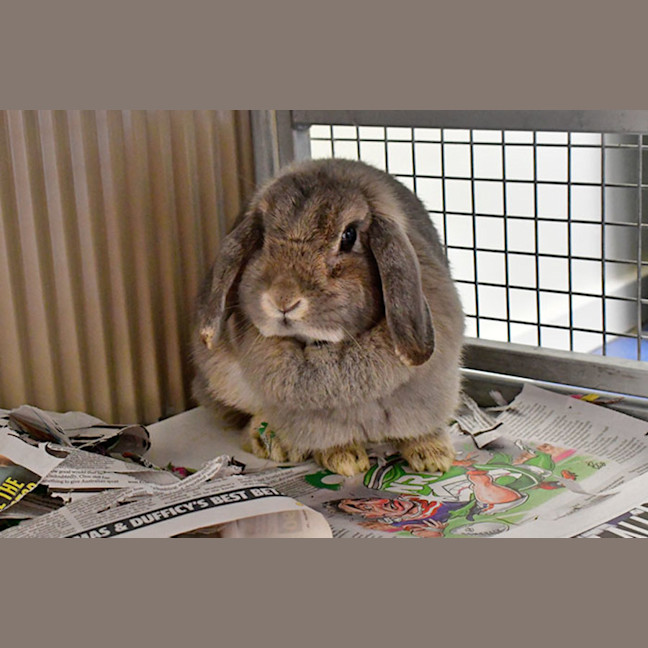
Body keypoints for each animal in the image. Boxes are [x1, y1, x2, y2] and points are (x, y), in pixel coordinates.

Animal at [192, 158, 465, 476]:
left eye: (349, 236)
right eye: (262, 237)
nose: (282, 299)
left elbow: (418, 427)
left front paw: (434, 456)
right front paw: (345, 459)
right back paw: (272, 442)